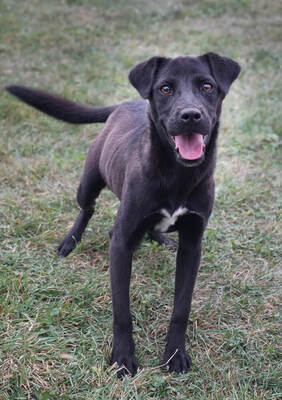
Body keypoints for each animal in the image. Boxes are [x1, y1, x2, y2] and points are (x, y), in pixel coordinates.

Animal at [6, 53, 240, 378]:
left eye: (207, 86)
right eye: (165, 89)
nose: (190, 115)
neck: (177, 174)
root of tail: (123, 104)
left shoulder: (193, 245)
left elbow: (181, 308)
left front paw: (175, 354)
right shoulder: (121, 244)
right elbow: (122, 309)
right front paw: (123, 357)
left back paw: (160, 239)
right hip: (88, 182)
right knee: (87, 208)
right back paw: (70, 241)